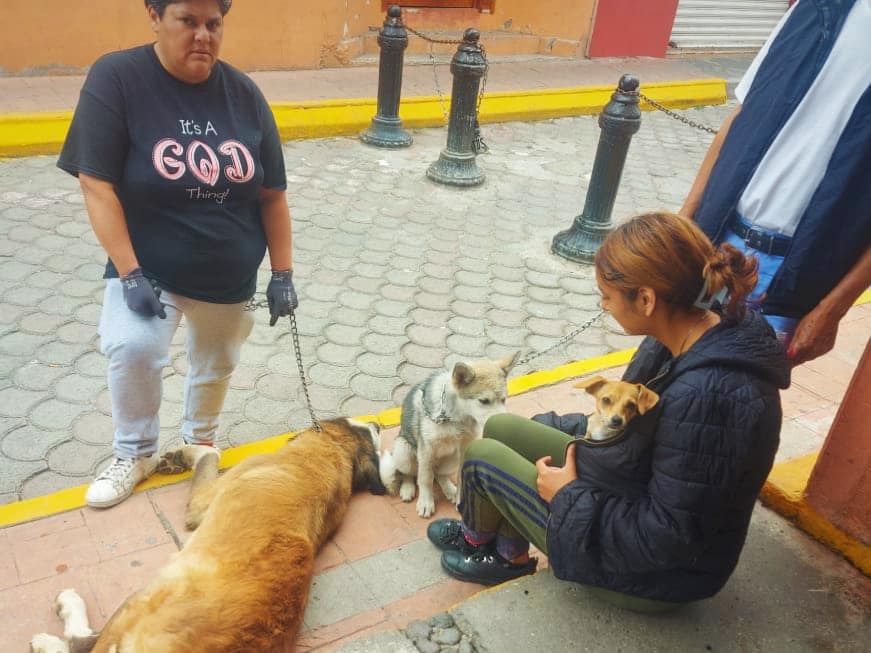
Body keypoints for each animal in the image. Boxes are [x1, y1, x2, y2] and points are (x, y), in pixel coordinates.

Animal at [30, 418, 384, 652]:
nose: (378, 423)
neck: (334, 451)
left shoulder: (203, 502)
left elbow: (207, 456)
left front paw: (184, 454)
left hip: (141, 600)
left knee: (80, 643)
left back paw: (57, 621)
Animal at [382, 354, 516, 516]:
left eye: (504, 399)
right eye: (483, 401)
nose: (505, 423)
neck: (456, 418)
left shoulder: (465, 449)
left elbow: (459, 476)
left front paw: (460, 498)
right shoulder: (426, 450)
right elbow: (425, 479)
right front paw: (426, 502)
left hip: (453, 457)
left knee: (439, 474)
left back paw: (449, 489)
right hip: (403, 450)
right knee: (411, 473)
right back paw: (408, 488)